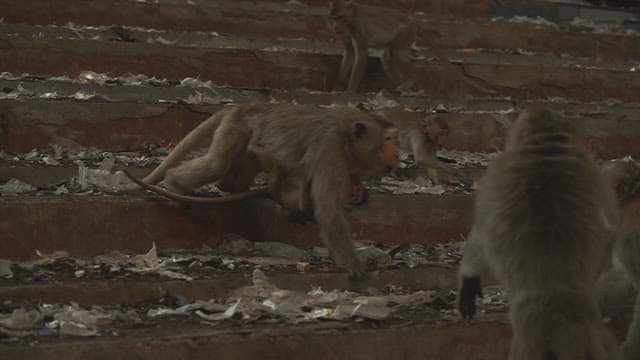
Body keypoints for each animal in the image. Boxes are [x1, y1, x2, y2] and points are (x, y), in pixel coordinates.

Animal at [125, 102, 400, 280]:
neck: (347, 138)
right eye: (388, 140)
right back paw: (174, 183)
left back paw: (230, 187)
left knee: (235, 175)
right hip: (235, 129)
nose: (397, 154)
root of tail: (244, 105)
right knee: (216, 164)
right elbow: (327, 207)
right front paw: (352, 264)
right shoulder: (330, 150)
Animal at [328, 0, 498, 94]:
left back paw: (409, 82)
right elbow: (350, 52)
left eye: (340, 17)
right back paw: (402, 87)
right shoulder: (345, 33)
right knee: (387, 58)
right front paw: (342, 80)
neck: (351, 19)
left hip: (405, 33)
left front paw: (350, 90)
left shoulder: (359, 27)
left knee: (396, 52)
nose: (335, 27)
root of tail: (411, 20)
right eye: (334, 18)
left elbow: (361, 55)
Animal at [458, 107, 624, 360]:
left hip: (531, 339)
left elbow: (479, 236)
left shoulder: (495, 175)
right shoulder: (597, 178)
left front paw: (468, 281)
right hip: (594, 337)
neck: (546, 148)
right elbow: (610, 235)